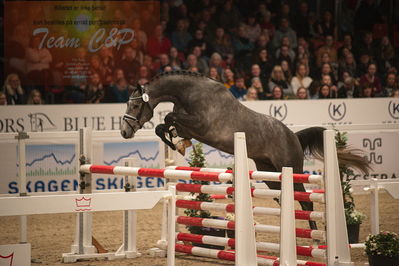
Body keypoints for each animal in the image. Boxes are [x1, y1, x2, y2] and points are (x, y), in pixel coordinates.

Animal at [121, 70, 368, 231]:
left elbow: (170, 118)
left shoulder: (201, 125)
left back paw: (314, 234)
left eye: (136, 105)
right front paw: (177, 143)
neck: (191, 93)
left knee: (305, 201)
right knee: (283, 198)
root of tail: (293, 137)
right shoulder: (189, 127)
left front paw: (176, 143)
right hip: (269, 173)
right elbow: (163, 125)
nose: (124, 132)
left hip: (290, 169)